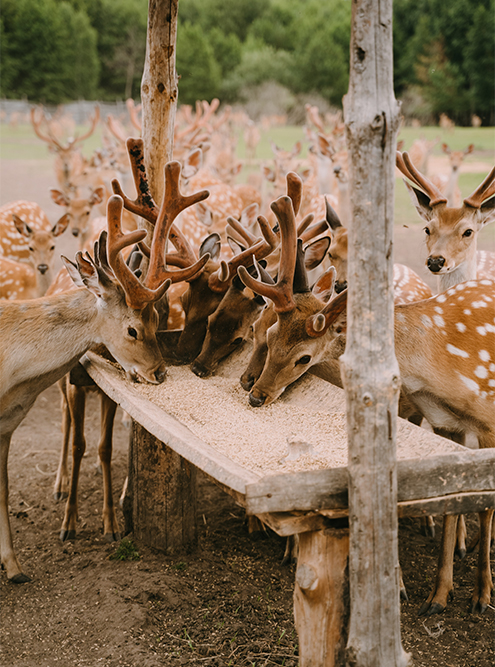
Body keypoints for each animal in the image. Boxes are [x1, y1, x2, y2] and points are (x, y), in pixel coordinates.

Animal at [238, 192, 494, 616]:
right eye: (268, 332)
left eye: (303, 358)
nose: (255, 393)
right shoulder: (444, 422)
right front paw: (437, 595)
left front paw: (478, 594)